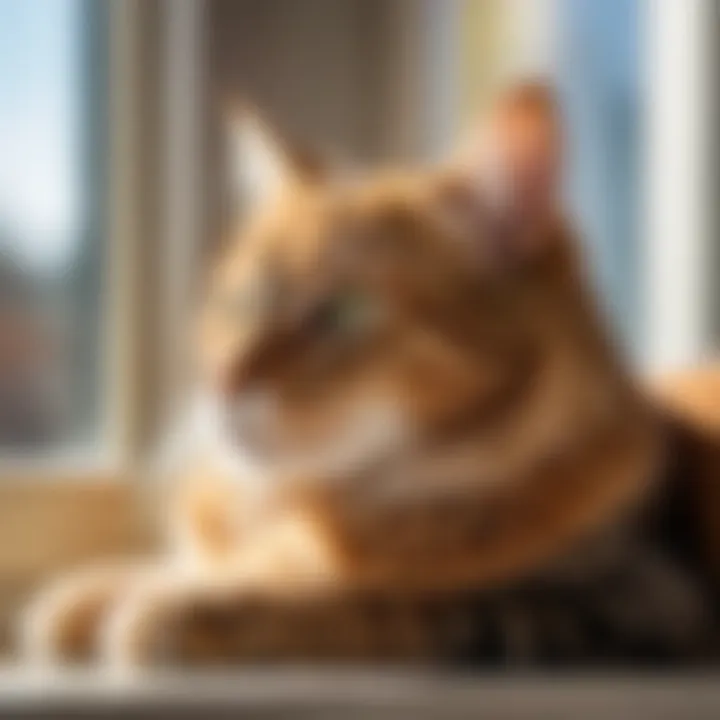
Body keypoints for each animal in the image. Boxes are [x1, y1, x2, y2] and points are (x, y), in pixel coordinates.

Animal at [23, 83, 720, 668]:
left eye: (341, 312)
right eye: (240, 303)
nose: (219, 382)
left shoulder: (620, 601)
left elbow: (360, 599)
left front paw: (181, 608)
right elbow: (188, 565)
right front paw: (99, 592)